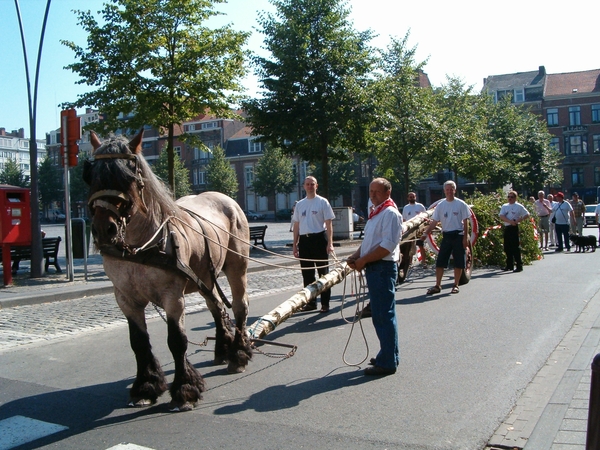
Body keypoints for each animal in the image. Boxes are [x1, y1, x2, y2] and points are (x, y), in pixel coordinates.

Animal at [83, 131, 252, 412]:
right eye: (90, 175)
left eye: (129, 175)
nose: (103, 229)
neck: (138, 247)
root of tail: (226, 198)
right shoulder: (125, 299)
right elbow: (139, 342)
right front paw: (146, 387)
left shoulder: (173, 297)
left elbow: (177, 341)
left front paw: (185, 390)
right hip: (204, 277)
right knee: (216, 306)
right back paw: (222, 348)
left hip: (236, 268)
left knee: (239, 306)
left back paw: (238, 354)